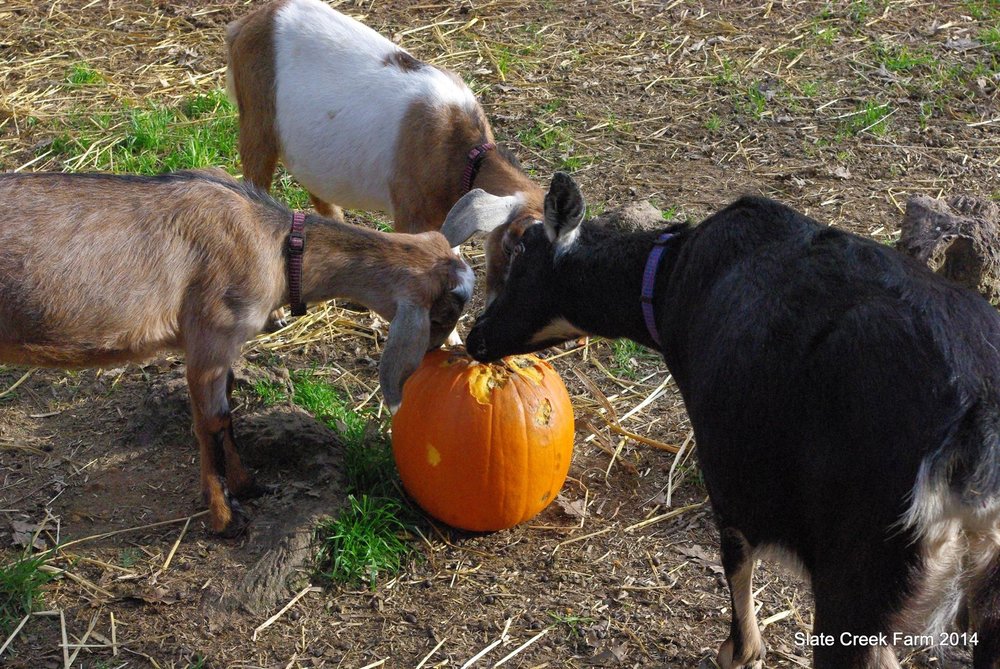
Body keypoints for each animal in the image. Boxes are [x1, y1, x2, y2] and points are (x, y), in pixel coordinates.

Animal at [0, 167, 472, 532]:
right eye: (446, 312)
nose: (451, 351)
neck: (276, 245)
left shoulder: (225, 349)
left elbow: (229, 412)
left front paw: (248, 485)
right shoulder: (209, 338)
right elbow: (211, 422)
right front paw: (225, 516)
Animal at [452, 172, 1000, 668]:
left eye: (520, 253)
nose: (477, 338)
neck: (670, 277)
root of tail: (974, 440)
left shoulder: (727, 463)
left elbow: (735, 557)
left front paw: (738, 651)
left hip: (861, 574)